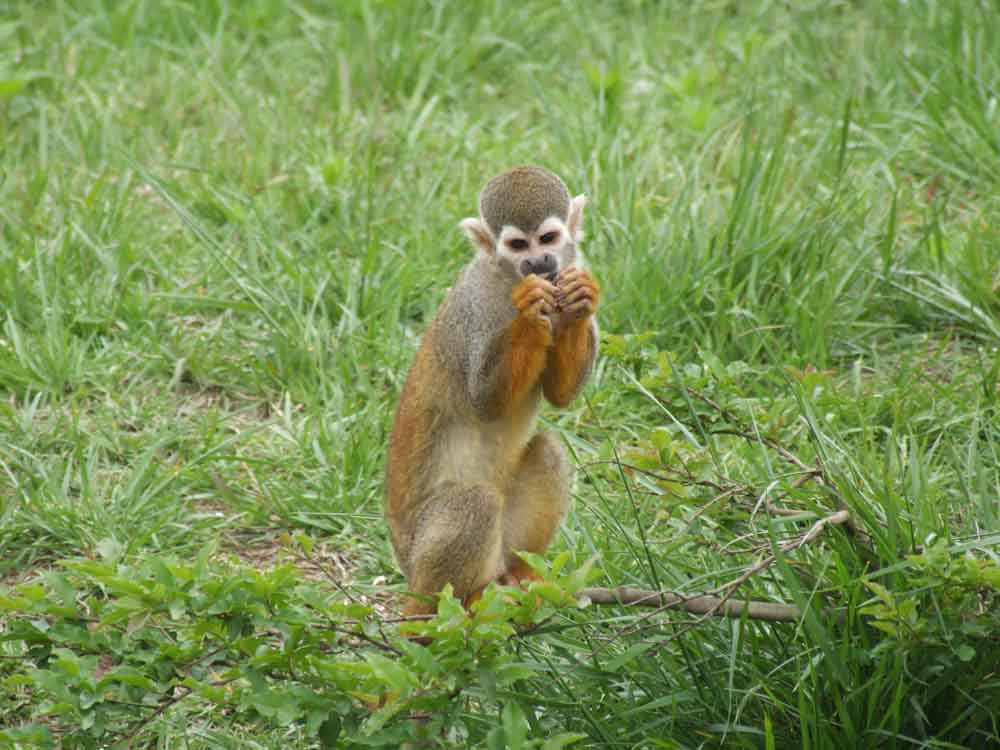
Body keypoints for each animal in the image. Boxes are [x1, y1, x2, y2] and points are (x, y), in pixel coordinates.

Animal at [385, 165, 600, 618]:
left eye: (548, 238)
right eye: (518, 245)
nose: (539, 262)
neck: (504, 278)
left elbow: (561, 396)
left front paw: (578, 301)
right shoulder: (474, 307)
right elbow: (485, 401)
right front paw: (529, 308)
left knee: (548, 452)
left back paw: (520, 574)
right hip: (420, 559)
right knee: (476, 502)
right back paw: (454, 605)